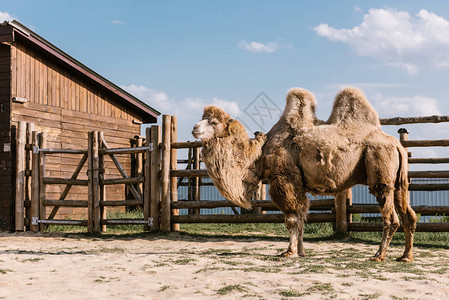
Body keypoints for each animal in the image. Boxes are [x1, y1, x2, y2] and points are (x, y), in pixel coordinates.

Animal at [192, 87, 416, 262]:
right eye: (203, 119)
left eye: (213, 122)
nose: (194, 128)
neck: (260, 153)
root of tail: (397, 144)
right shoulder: (297, 184)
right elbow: (300, 216)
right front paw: (300, 251)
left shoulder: (284, 178)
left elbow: (291, 217)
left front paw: (289, 252)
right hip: (399, 181)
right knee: (408, 215)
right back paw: (405, 256)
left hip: (380, 168)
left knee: (390, 216)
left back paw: (379, 255)